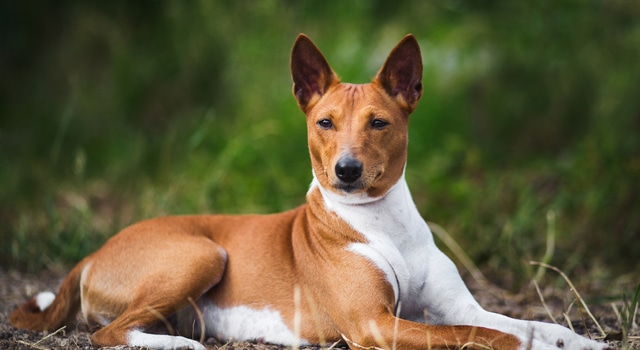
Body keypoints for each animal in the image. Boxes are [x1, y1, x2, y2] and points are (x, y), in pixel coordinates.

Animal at [11, 33, 608, 350]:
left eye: (378, 123)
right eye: (325, 122)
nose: (345, 170)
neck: (381, 223)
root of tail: (95, 251)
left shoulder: (454, 308)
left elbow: (526, 323)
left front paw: (579, 340)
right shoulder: (375, 325)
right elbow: (491, 337)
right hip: (202, 252)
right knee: (109, 334)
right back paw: (182, 346)